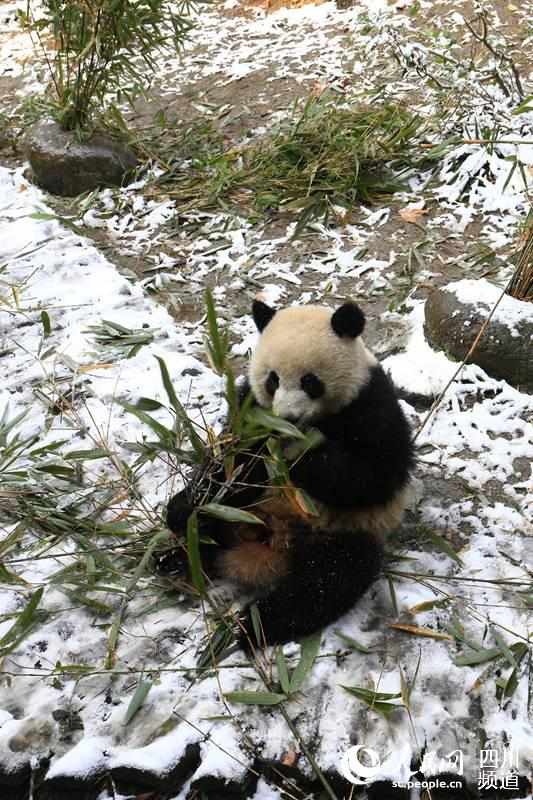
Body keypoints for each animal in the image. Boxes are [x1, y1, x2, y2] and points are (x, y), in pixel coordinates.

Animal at [166, 299, 414, 647]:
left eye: (310, 381)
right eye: (273, 380)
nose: (287, 417)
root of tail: (268, 551)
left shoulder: (371, 404)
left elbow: (372, 475)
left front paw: (301, 455)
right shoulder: (251, 408)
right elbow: (232, 463)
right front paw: (185, 504)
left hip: (339, 529)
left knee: (325, 581)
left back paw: (256, 626)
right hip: (242, 514)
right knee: (206, 528)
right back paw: (174, 552)